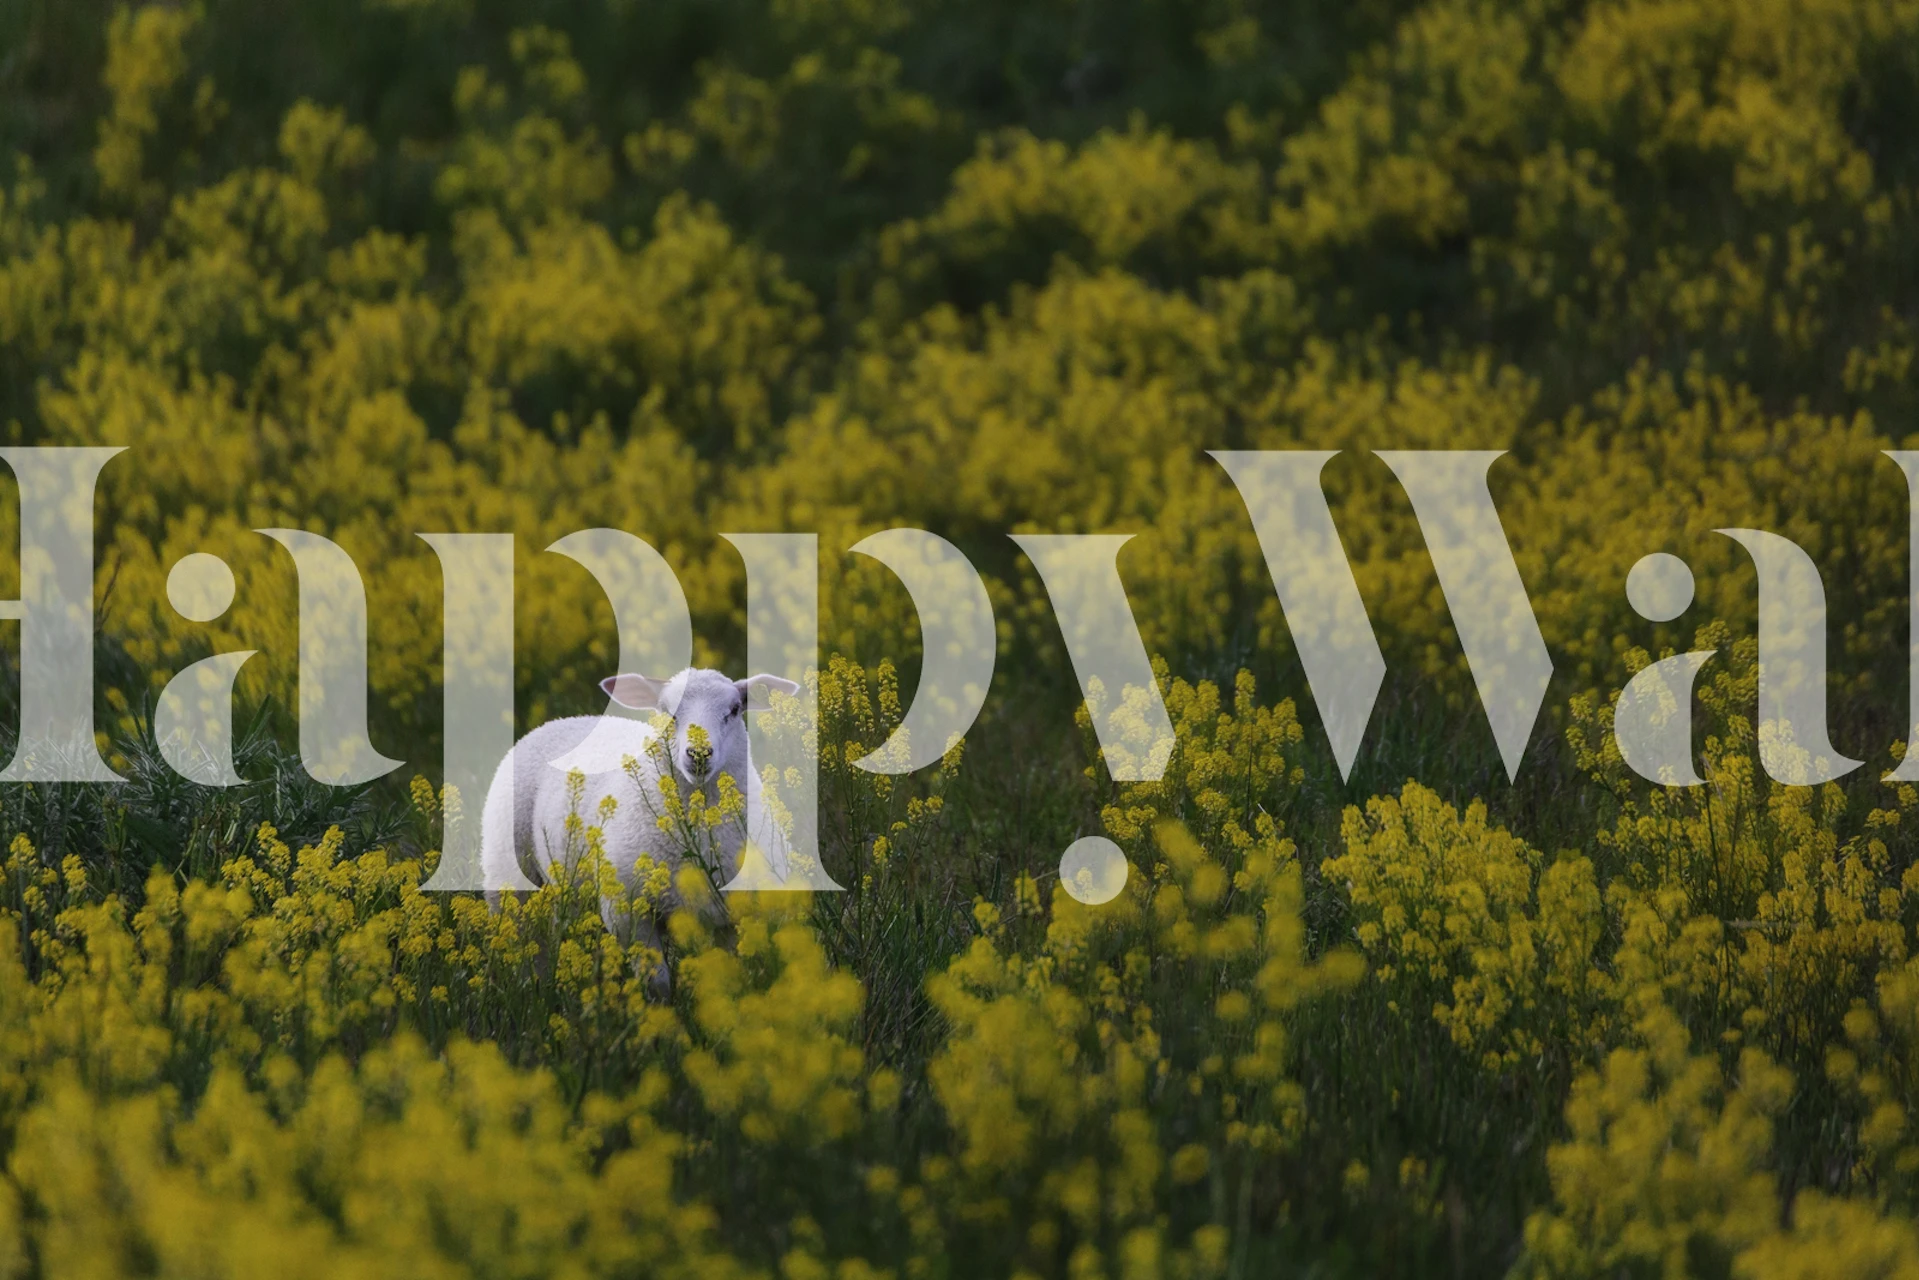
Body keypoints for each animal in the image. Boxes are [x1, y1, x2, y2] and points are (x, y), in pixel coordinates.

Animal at [480, 667, 798, 989]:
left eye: (734, 710)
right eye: (666, 710)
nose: (698, 754)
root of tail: (561, 720)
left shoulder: (736, 915)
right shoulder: (628, 911)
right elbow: (656, 984)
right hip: (510, 878)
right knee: (528, 946)